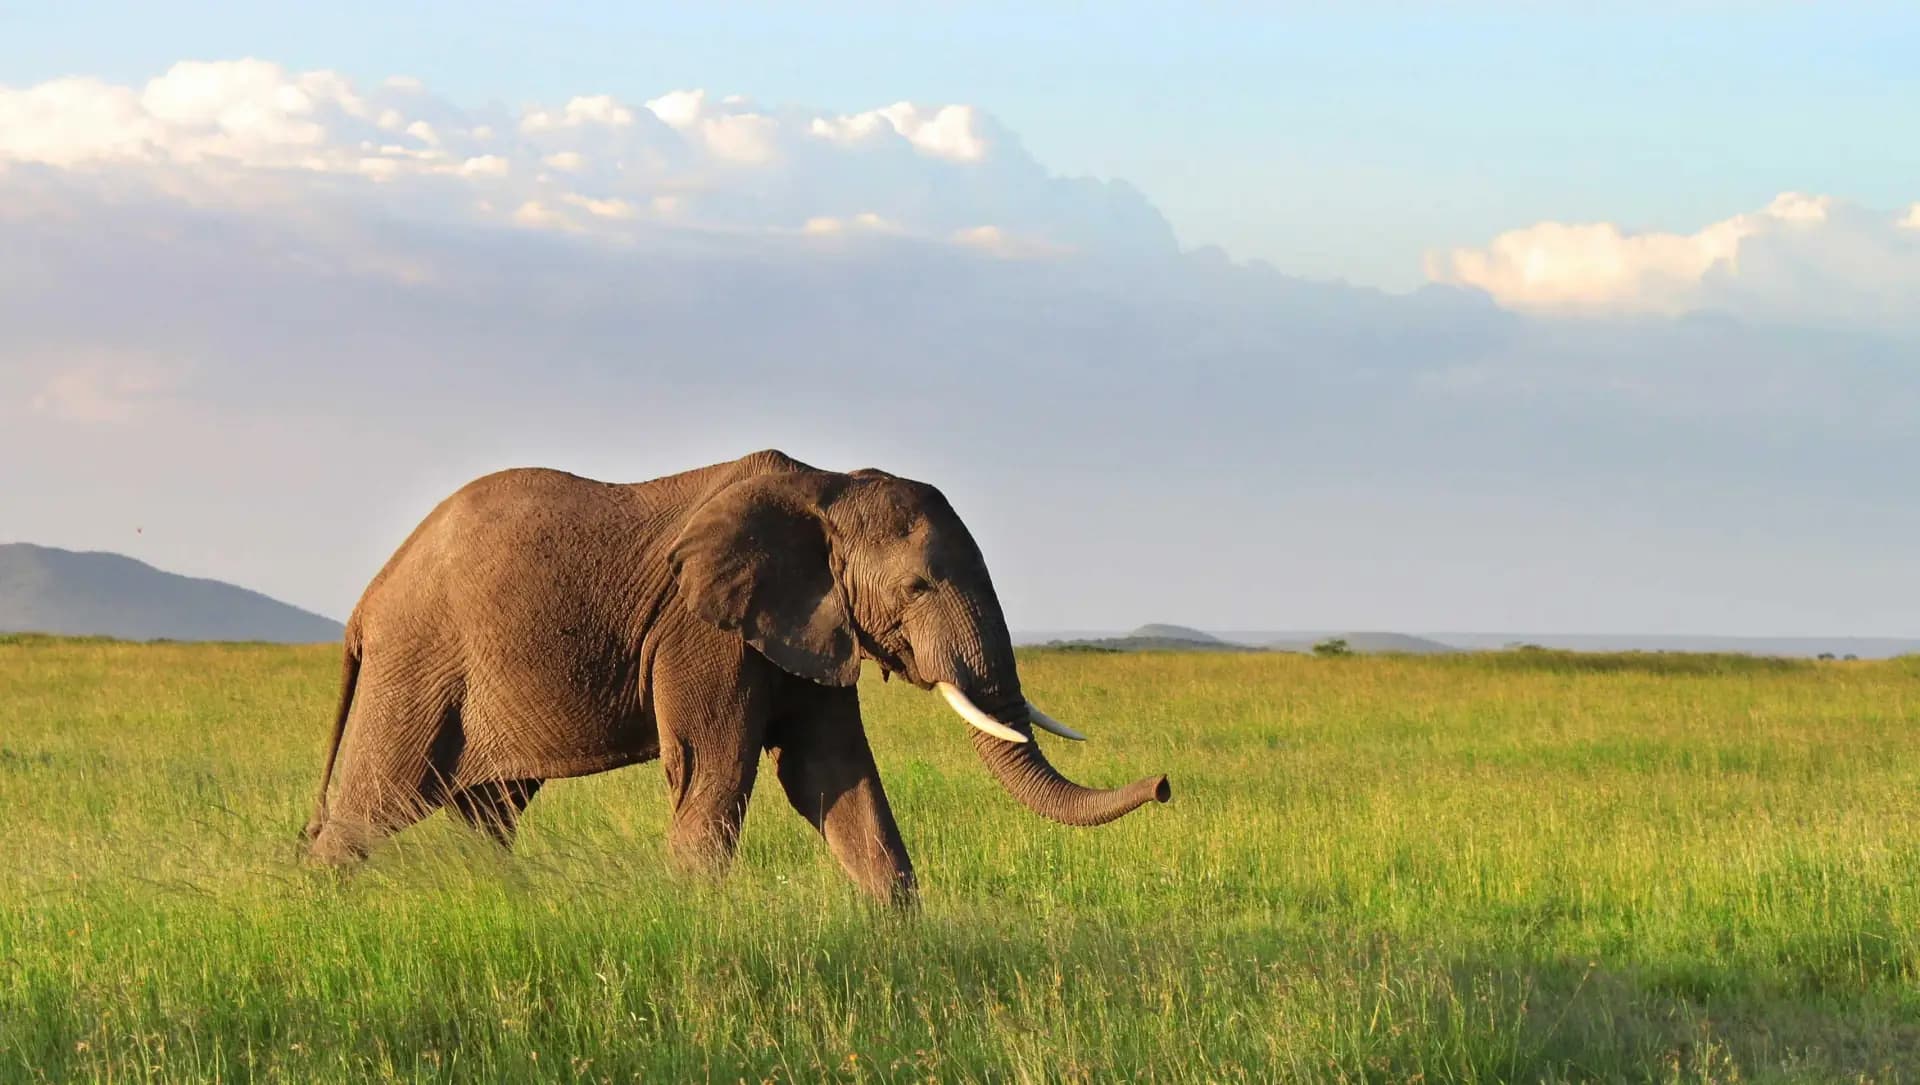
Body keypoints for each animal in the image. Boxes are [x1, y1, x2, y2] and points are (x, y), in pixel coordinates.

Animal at [302, 449, 1170, 903]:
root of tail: (364, 606)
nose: (1163, 785)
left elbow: (832, 773)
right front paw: (693, 920)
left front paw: (900, 933)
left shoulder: (812, 624)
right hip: (418, 662)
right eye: (920, 586)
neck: (828, 487)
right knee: (374, 802)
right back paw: (325, 908)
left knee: (489, 812)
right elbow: (715, 772)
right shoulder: (703, 631)